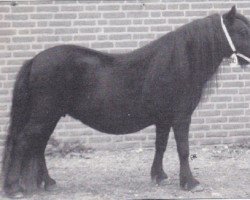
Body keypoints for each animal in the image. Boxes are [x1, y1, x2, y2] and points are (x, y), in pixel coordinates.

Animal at [1, 6, 250, 198]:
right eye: (243, 31)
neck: (180, 61)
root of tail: (34, 60)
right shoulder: (181, 117)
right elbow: (183, 149)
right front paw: (190, 182)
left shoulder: (163, 119)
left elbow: (160, 145)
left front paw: (159, 176)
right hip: (44, 115)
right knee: (24, 142)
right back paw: (14, 188)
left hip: (49, 116)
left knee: (38, 145)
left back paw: (48, 182)